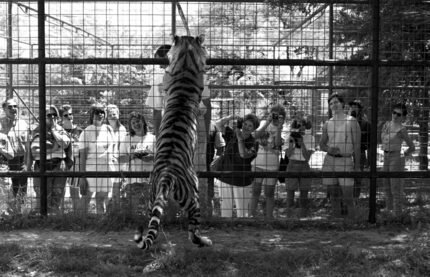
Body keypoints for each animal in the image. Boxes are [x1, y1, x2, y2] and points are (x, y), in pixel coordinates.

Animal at [134, 35, 213, 250]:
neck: (186, 58)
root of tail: (166, 175)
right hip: (193, 197)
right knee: (193, 230)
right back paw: (204, 240)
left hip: (152, 195)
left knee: (152, 220)